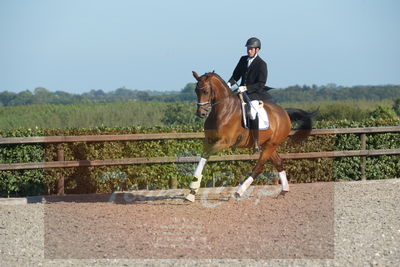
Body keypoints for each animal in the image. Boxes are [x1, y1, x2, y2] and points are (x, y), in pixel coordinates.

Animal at [186, 71, 314, 203]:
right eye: (196, 91)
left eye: (206, 91)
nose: (201, 113)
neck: (224, 110)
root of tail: (284, 112)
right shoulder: (208, 141)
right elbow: (203, 157)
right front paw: (191, 193)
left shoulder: (224, 142)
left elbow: (205, 155)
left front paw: (193, 187)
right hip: (268, 145)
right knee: (278, 162)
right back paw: (284, 191)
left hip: (271, 145)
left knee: (258, 167)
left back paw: (238, 192)